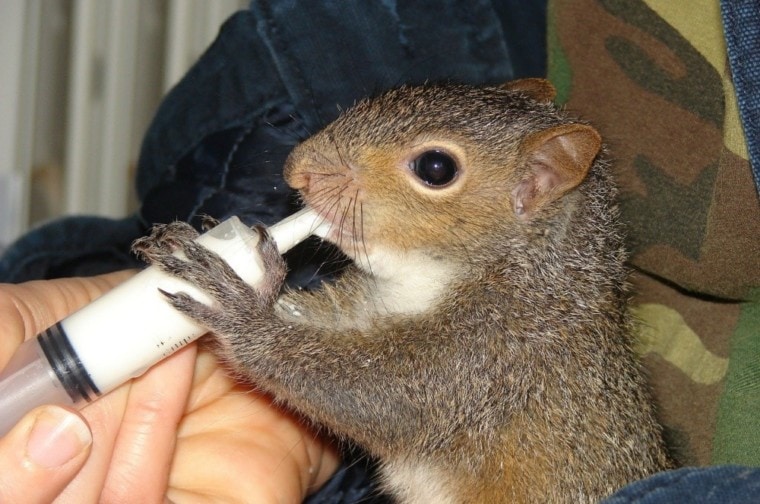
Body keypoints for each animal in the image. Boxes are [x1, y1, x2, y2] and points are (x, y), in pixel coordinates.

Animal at [135, 79, 672, 504]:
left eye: (436, 168)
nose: (295, 168)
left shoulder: (496, 355)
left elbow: (379, 395)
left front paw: (240, 312)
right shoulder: (367, 305)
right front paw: (254, 275)